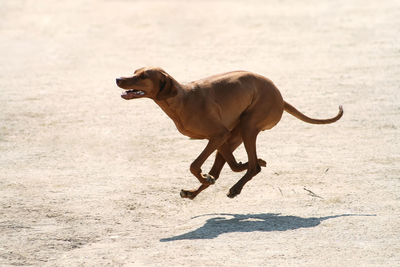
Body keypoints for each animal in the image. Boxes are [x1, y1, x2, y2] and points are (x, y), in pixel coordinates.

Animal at [115, 67, 340, 199]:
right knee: (238, 167)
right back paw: (195, 190)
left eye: (143, 76)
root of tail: (281, 98)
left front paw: (205, 177)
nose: (118, 78)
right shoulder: (220, 137)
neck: (181, 101)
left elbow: (194, 165)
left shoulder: (218, 135)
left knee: (253, 167)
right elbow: (223, 167)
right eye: (135, 71)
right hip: (235, 135)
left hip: (248, 128)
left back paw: (236, 187)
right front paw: (207, 178)